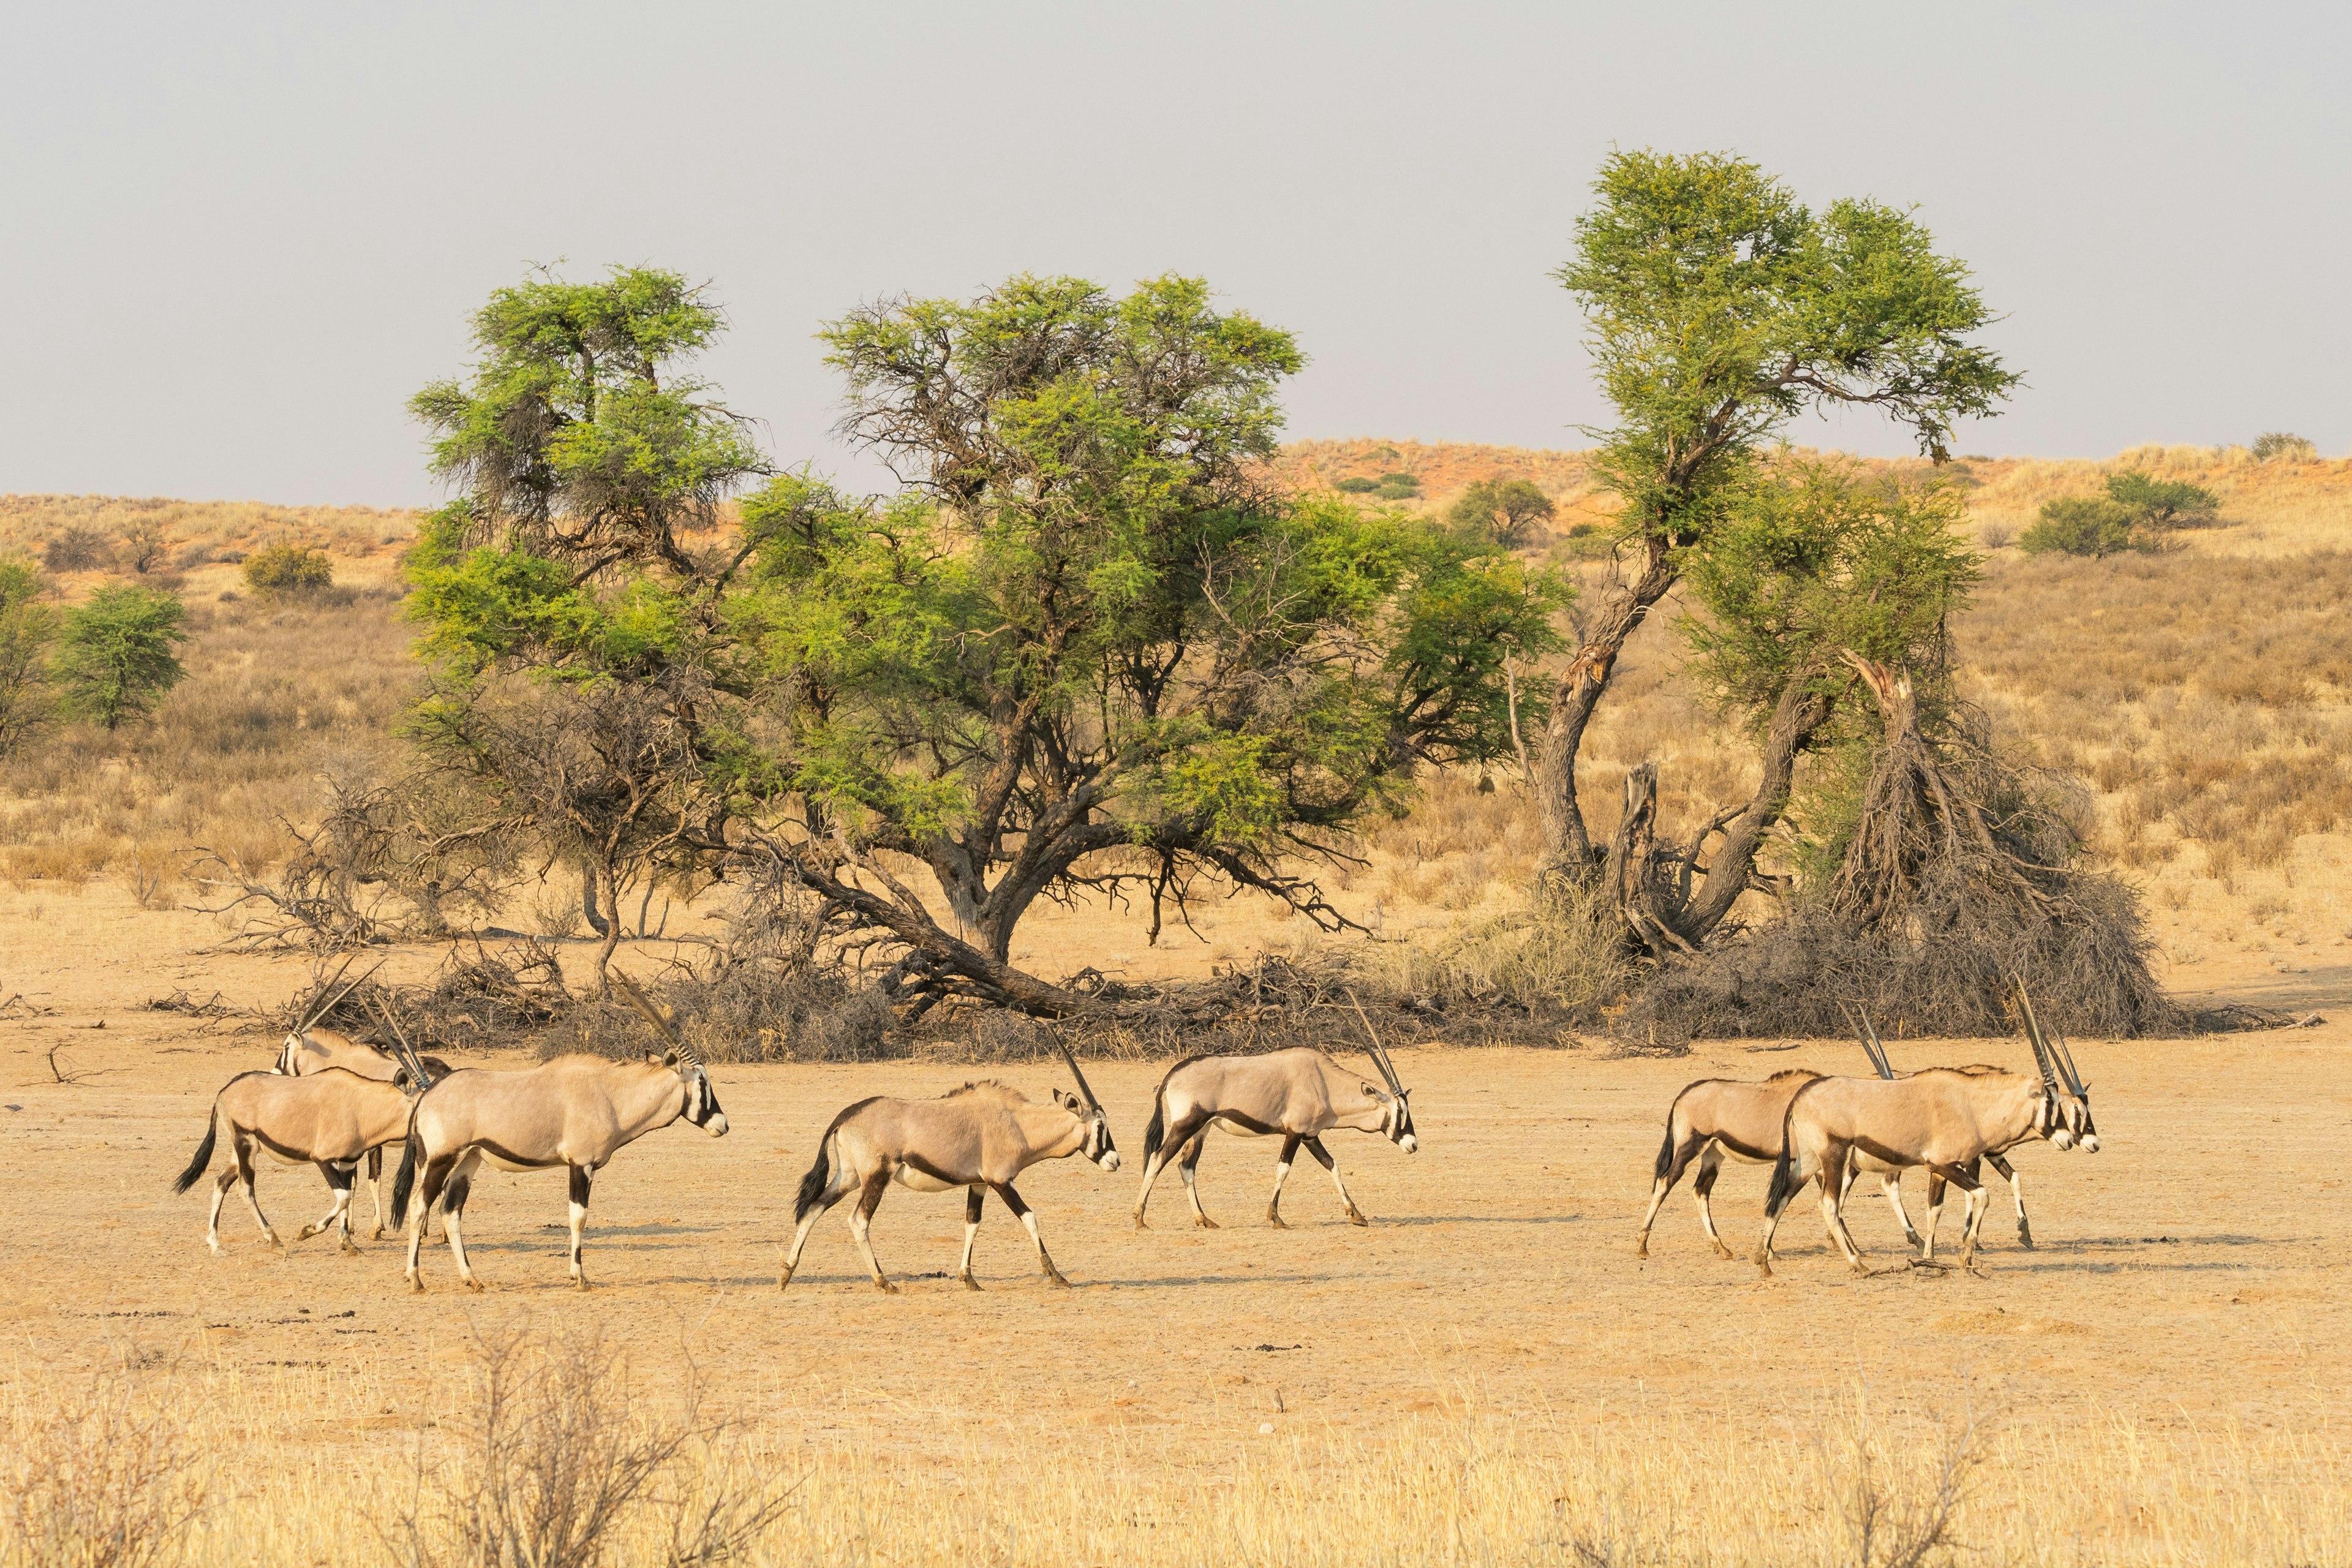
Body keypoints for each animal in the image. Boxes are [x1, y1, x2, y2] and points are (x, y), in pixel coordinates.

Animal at [172, 1062, 421, 1260]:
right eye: (419, 1105)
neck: (362, 1106)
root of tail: (224, 1092)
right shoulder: (323, 1159)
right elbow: (344, 1196)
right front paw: (307, 1231)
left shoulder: (347, 1161)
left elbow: (348, 1197)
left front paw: (347, 1243)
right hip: (246, 1144)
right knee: (246, 1189)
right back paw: (274, 1240)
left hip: (241, 1152)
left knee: (221, 1182)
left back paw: (215, 1244)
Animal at [390, 973, 729, 1297]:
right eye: (703, 1082)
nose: (723, 1125)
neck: (611, 1095)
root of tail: (428, 1095)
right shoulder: (581, 1164)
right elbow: (578, 1217)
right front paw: (579, 1278)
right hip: (440, 1160)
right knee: (419, 1205)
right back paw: (415, 1279)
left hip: (468, 1160)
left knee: (450, 1211)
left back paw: (472, 1279)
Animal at [780, 1048, 1119, 1297]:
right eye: (1100, 1126)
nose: (1115, 1161)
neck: (1018, 1123)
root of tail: (846, 1116)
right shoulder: (1001, 1182)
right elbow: (1030, 1218)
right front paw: (1056, 1276)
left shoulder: (980, 1184)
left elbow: (972, 1224)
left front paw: (969, 1279)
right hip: (876, 1178)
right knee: (858, 1221)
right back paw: (884, 1282)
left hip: (849, 1178)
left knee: (813, 1208)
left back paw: (786, 1273)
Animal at [1133, 1006, 1411, 1222]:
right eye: (1399, 1111)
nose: (1413, 1145)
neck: (1323, 1081)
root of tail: (1173, 1075)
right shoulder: (1295, 1133)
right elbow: (1283, 1169)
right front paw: (1275, 1217)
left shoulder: (1310, 1135)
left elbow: (1332, 1165)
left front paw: (1356, 1215)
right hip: (1186, 1125)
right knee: (1158, 1158)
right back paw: (1139, 1218)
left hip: (1201, 1129)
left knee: (1186, 1166)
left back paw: (1204, 1219)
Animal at [1759, 992, 2107, 1278]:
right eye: (2052, 1102)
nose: (2071, 1141)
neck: (1972, 1104)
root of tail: (1801, 1095)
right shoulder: (1945, 1164)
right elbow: (1981, 1195)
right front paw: (1966, 1255)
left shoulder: (1941, 1169)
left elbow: (1935, 1208)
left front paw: (1929, 1257)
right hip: (1834, 1157)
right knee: (1829, 1204)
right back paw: (1858, 1264)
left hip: (1808, 1162)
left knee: (1782, 1196)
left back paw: (1762, 1261)